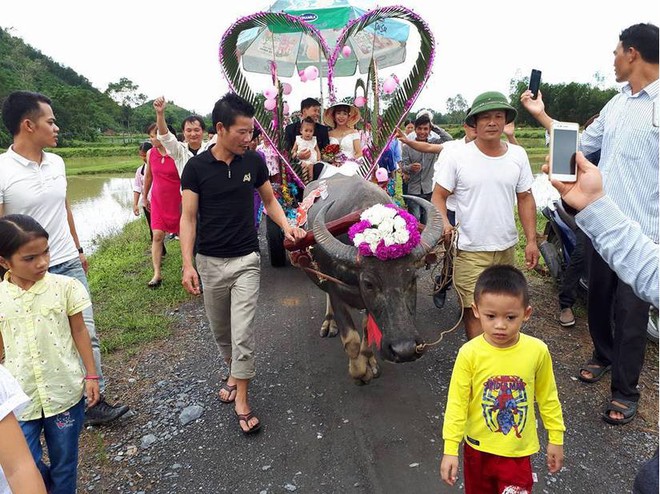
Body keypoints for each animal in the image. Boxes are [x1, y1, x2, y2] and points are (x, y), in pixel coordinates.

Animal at [302, 176, 444, 384]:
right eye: (369, 284)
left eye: (412, 279)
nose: (405, 350)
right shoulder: (337, 291)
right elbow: (351, 340)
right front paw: (360, 372)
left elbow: (367, 330)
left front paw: (369, 361)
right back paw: (329, 323)